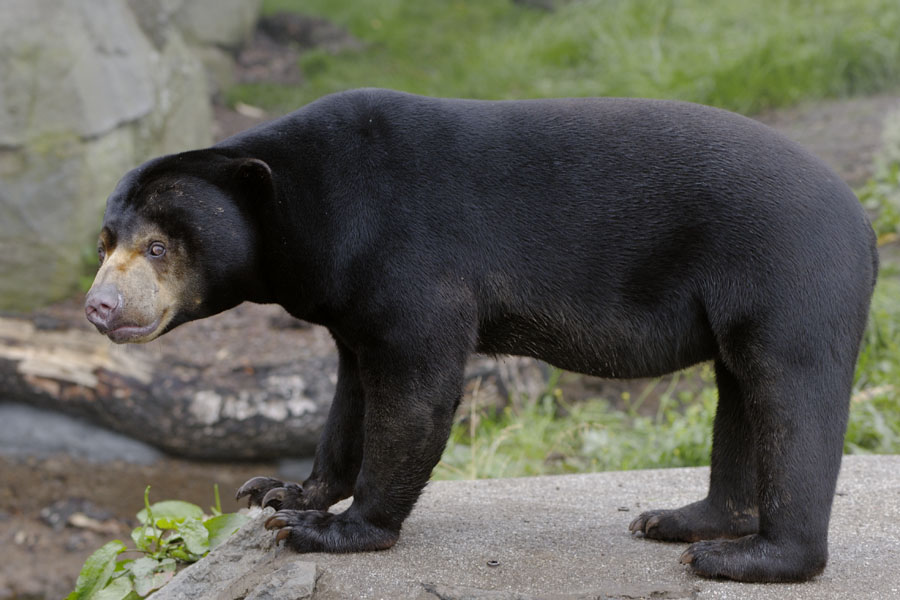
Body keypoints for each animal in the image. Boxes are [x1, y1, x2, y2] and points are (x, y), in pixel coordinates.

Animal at [84, 88, 877, 583]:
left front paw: (333, 531)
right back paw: (685, 521)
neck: (313, 206)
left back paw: (748, 558)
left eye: (159, 247)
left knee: (791, 395)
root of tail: (866, 222)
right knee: (739, 395)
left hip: (788, 270)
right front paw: (283, 493)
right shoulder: (348, 300)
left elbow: (416, 390)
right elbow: (351, 395)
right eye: (105, 240)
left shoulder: (410, 259)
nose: (98, 308)